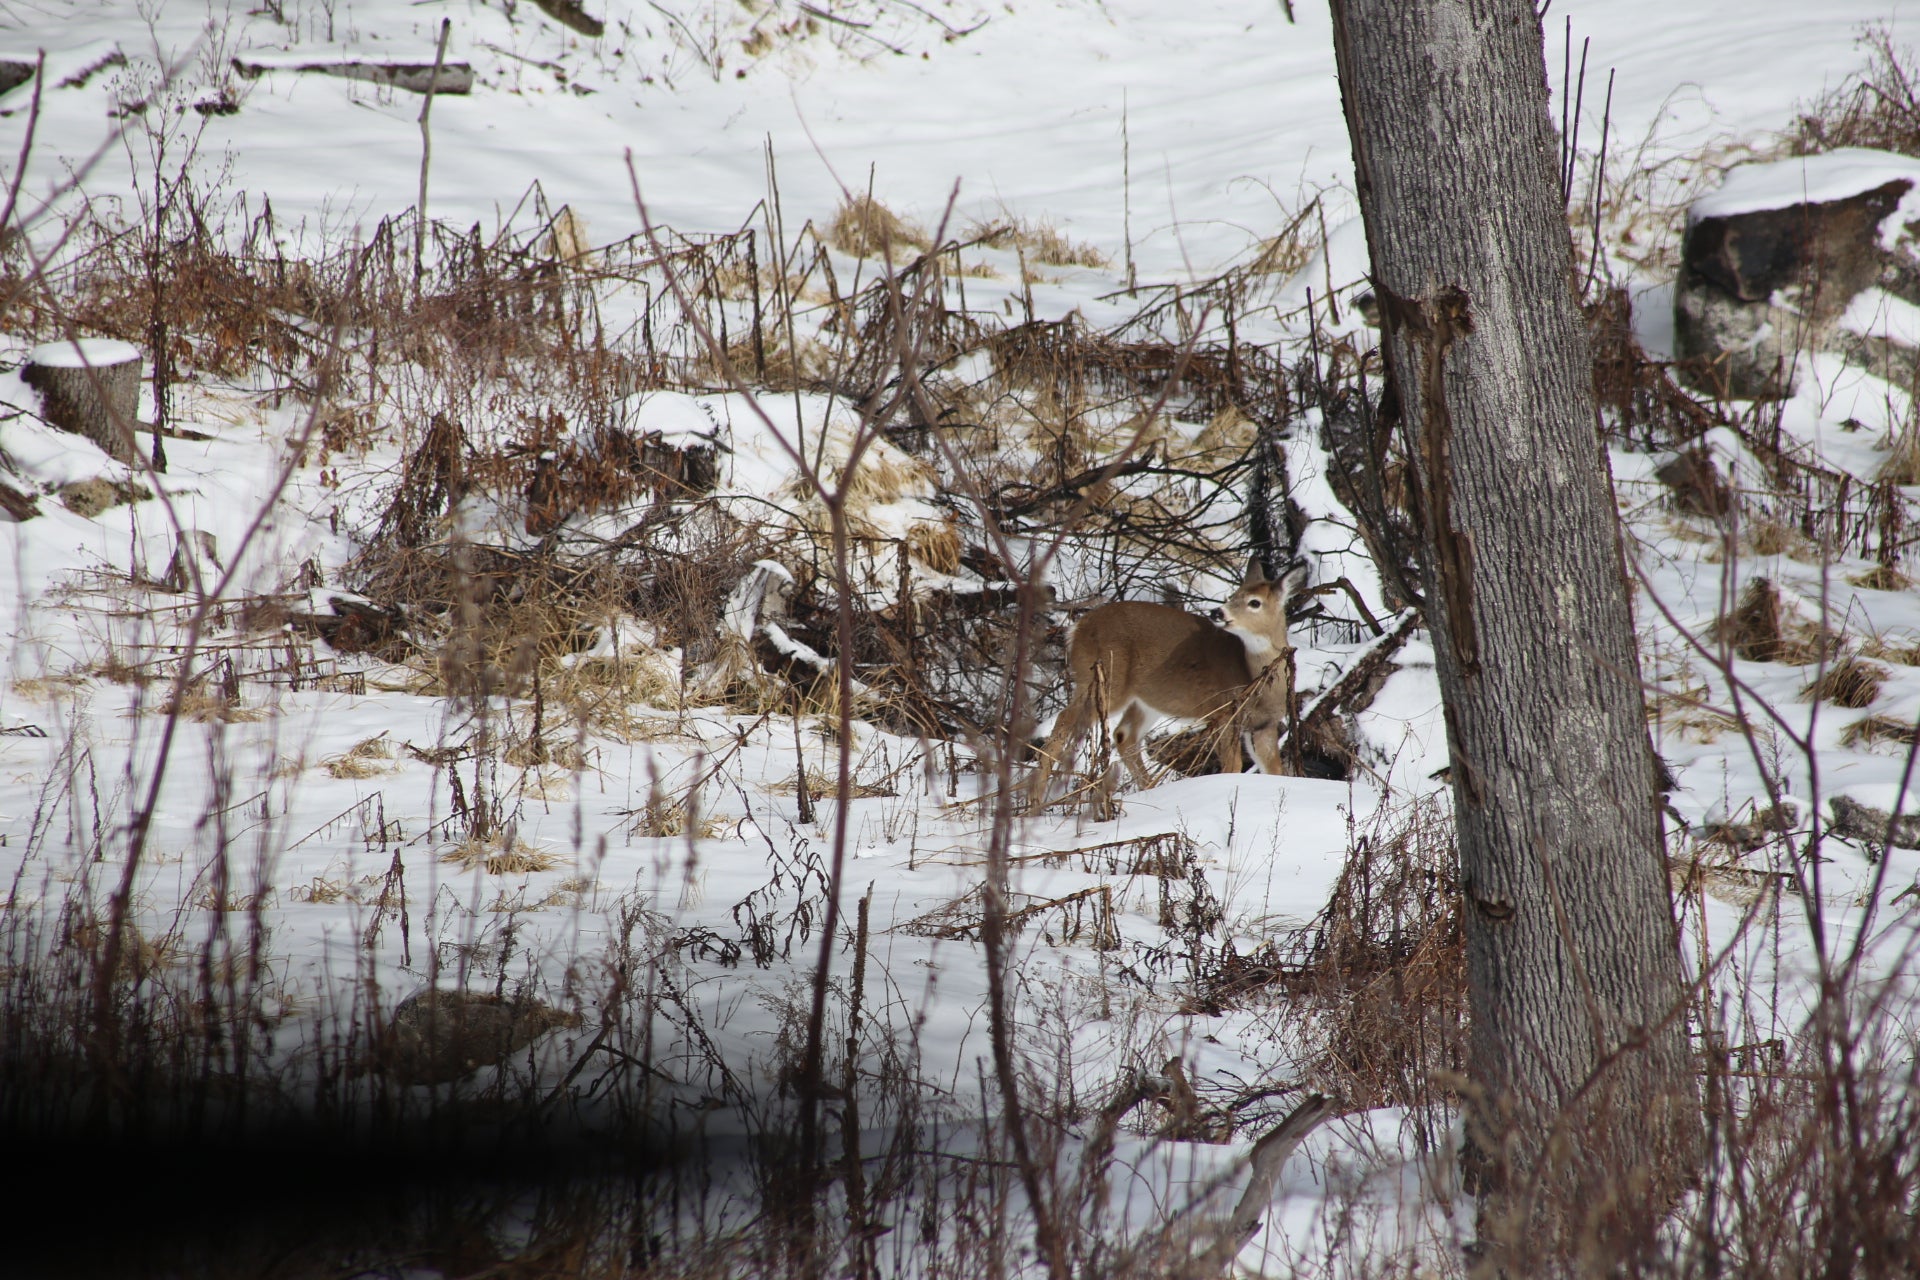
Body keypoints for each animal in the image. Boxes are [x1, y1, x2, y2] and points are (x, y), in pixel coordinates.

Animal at [1027, 559, 1307, 809]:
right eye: (1233, 595)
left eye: (1254, 602)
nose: (1217, 612)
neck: (1254, 679)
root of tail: (1076, 628)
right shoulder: (1224, 711)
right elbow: (1233, 766)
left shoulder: (1264, 726)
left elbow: (1274, 770)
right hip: (1105, 679)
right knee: (1066, 718)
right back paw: (1035, 801)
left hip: (1146, 698)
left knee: (1123, 735)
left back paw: (1150, 792)